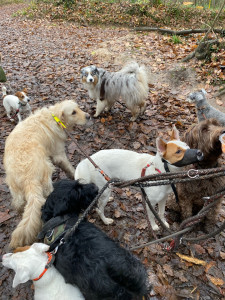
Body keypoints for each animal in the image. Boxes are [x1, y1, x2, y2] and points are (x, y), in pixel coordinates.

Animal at [75, 126, 204, 230]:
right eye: (178, 152)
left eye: (187, 146)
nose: (200, 153)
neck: (159, 171)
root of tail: (87, 160)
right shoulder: (150, 202)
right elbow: (152, 216)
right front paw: (154, 226)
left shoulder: (163, 199)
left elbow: (161, 213)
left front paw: (163, 222)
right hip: (104, 189)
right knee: (99, 209)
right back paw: (106, 221)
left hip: (106, 186)